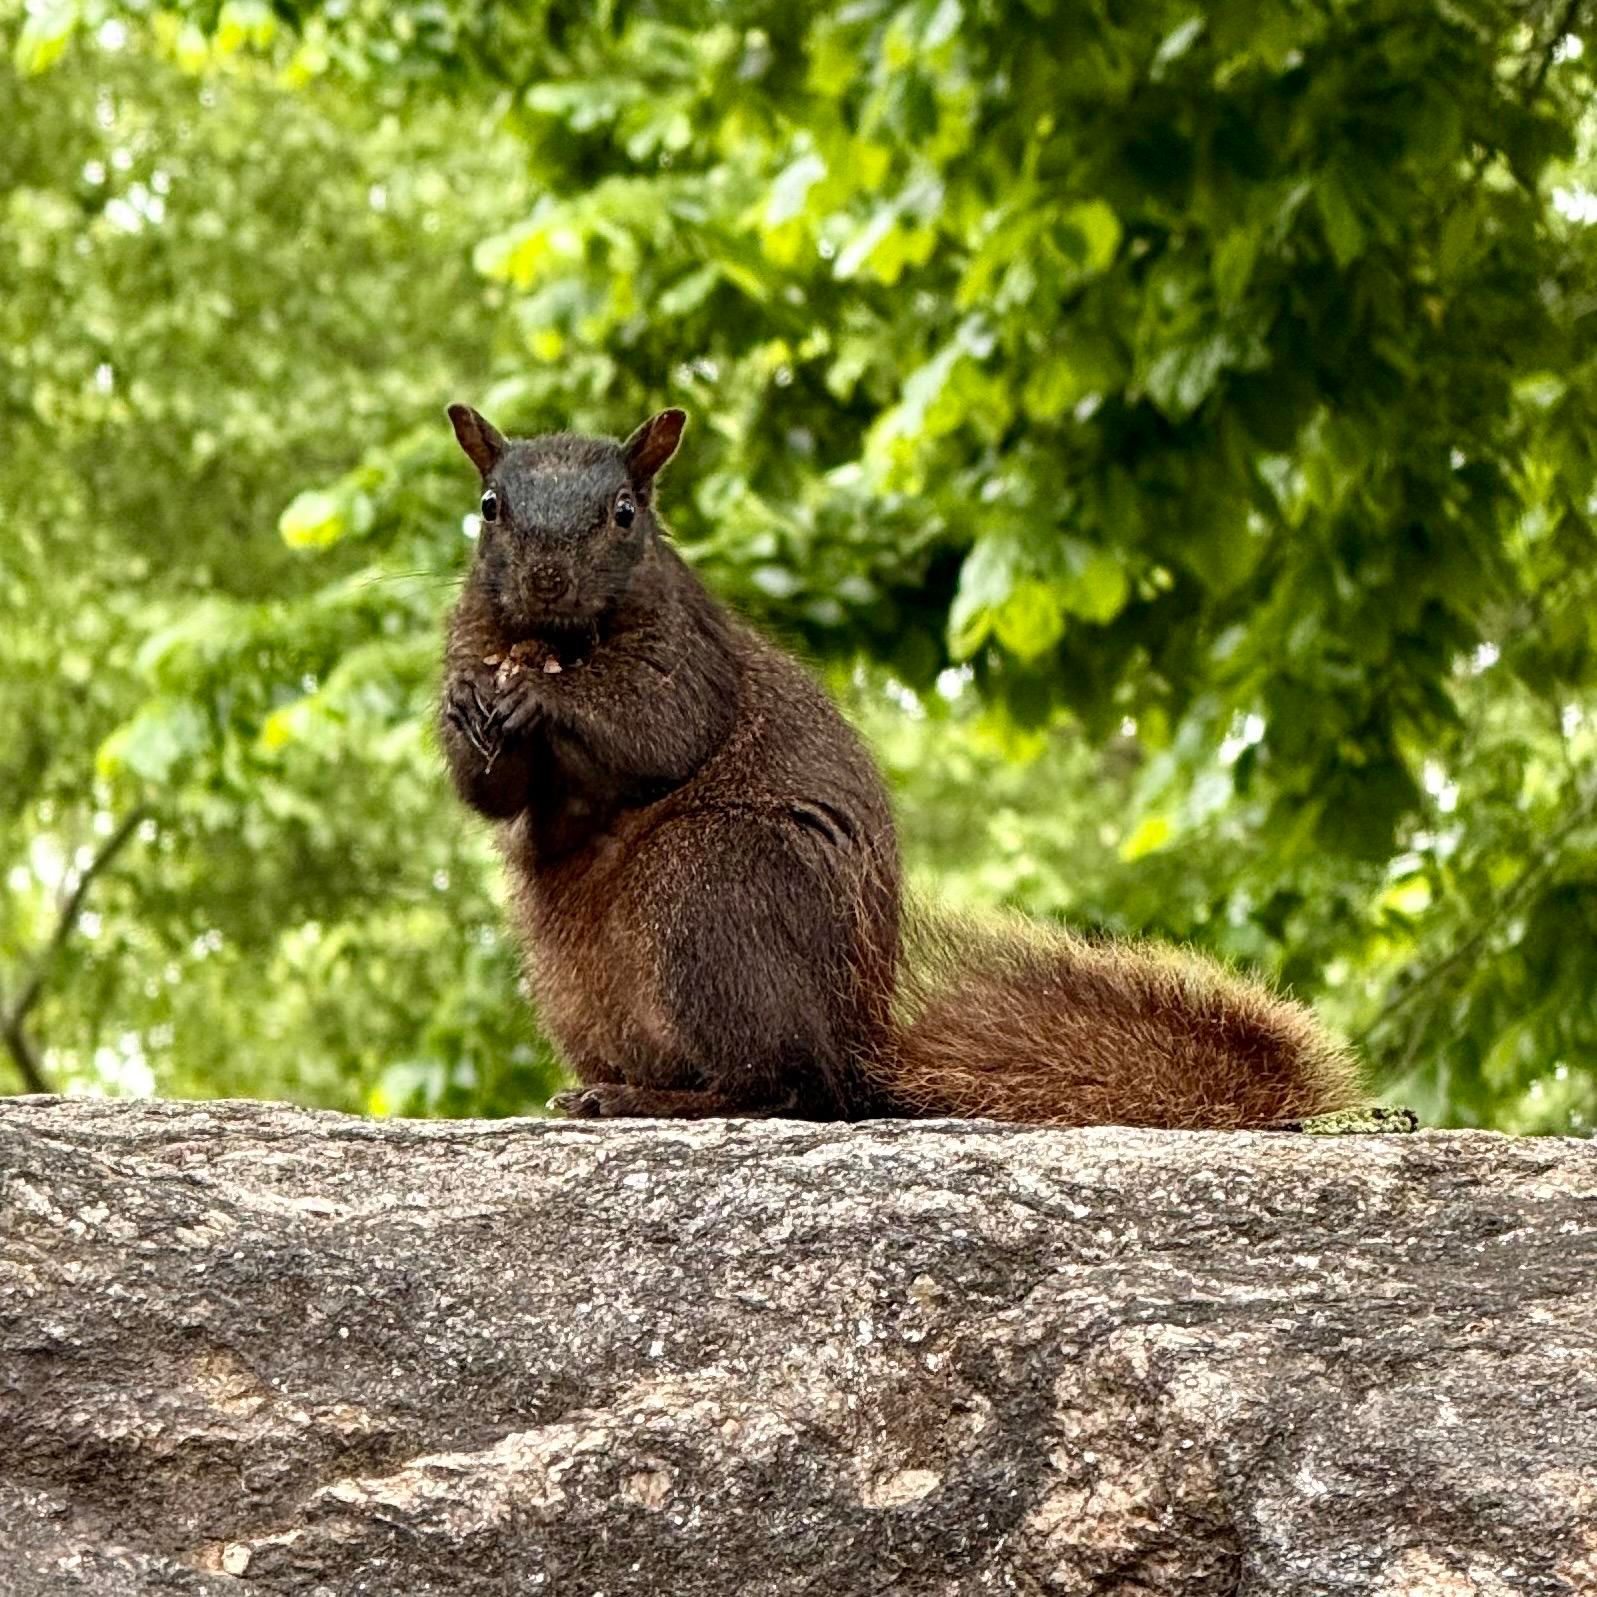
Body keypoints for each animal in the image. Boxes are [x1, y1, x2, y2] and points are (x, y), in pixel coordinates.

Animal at [438, 403, 1362, 1126]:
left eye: (625, 513)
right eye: (488, 506)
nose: (547, 580)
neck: (560, 641)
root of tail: (859, 1047)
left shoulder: (691, 661)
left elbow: (655, 726)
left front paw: (540, 699)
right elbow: (490, 791)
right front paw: (465, 704)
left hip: (710, 889)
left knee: (789, 1087)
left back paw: (647, 1100)